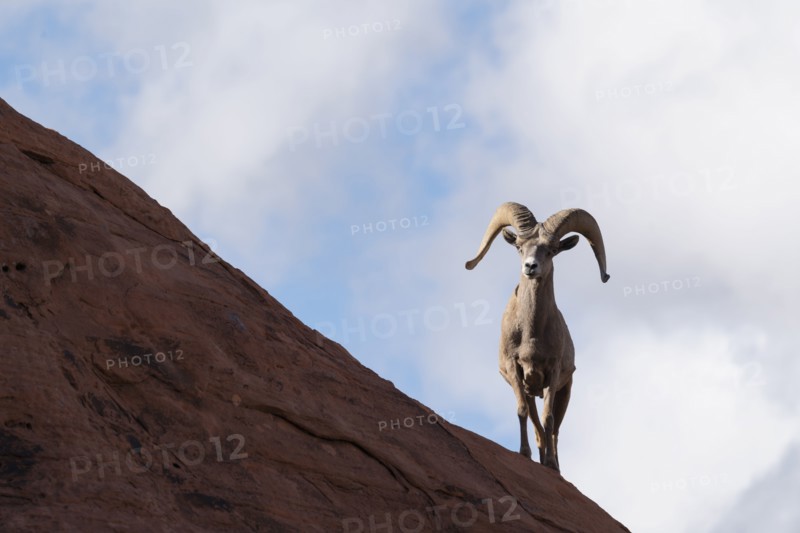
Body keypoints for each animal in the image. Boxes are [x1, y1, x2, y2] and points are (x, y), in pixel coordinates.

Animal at [465, 202, 609, 472]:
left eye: (551, 251)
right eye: (520, 247)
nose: (530, 267)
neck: (531, 335)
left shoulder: (553, 374)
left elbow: (548, 419)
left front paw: (551, 464)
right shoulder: (515, 370)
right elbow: (522, 411)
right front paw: (524, 454)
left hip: (564, 392)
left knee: (553, 431)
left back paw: (555, 467)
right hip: (531, 390)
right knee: (537, 429)